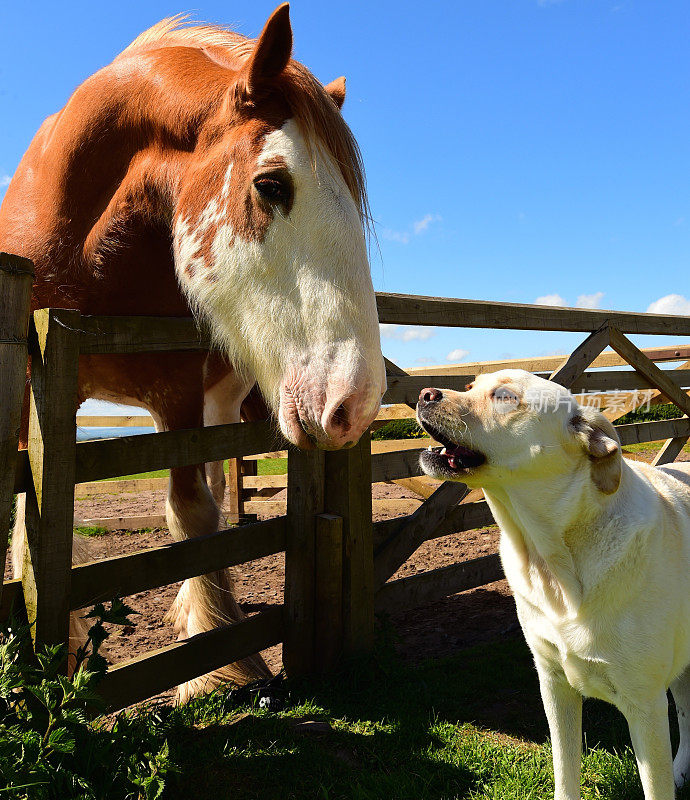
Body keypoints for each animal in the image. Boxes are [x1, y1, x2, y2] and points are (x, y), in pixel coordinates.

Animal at [0, 4, 384, 700]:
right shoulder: (29, 391)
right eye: (271, 184)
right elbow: (26, 521)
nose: (356, 402)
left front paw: (218, 666)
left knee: (213, 490)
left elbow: (190, 513)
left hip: (217, 402)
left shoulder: (175, 391)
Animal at [414, 372, 688, 800]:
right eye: (471, 385)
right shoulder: (553, 684)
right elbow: (565, 769)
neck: (553, 563)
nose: (424, 393)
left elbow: (654, 786)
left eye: (505, 396)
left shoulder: (645, 704)